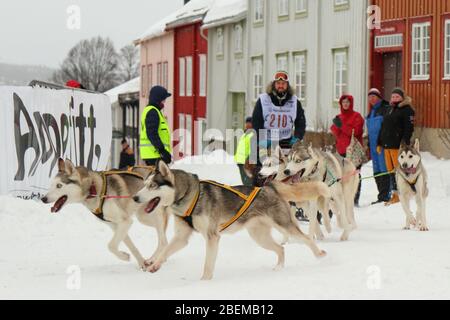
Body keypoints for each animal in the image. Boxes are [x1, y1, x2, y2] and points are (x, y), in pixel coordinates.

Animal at [41, 159, 169, 268]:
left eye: (59, 185)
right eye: (51, 185)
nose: (43, 198)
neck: (93, 188)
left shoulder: (125, 221)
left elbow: (111, 246)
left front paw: (126, 257)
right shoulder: (116, 225)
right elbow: (129, 246)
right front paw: (139, 262)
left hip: (152, 215)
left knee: (163, 241)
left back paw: (154, 259)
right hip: (143, 217)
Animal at [134, 161, 326, 278]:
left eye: (152, 186)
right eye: (144, 184)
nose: (135, 197)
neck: (191, 195)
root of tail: (269, 186)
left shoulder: (212, 237)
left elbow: (208, 265)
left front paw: (204, 282)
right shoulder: (181, 237)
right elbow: (165, 251)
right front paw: (154, 265)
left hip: (285, 226)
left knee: (307, 238)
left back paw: (320, 256)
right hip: (259, 236)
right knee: (281, 248)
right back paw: (279, 268)